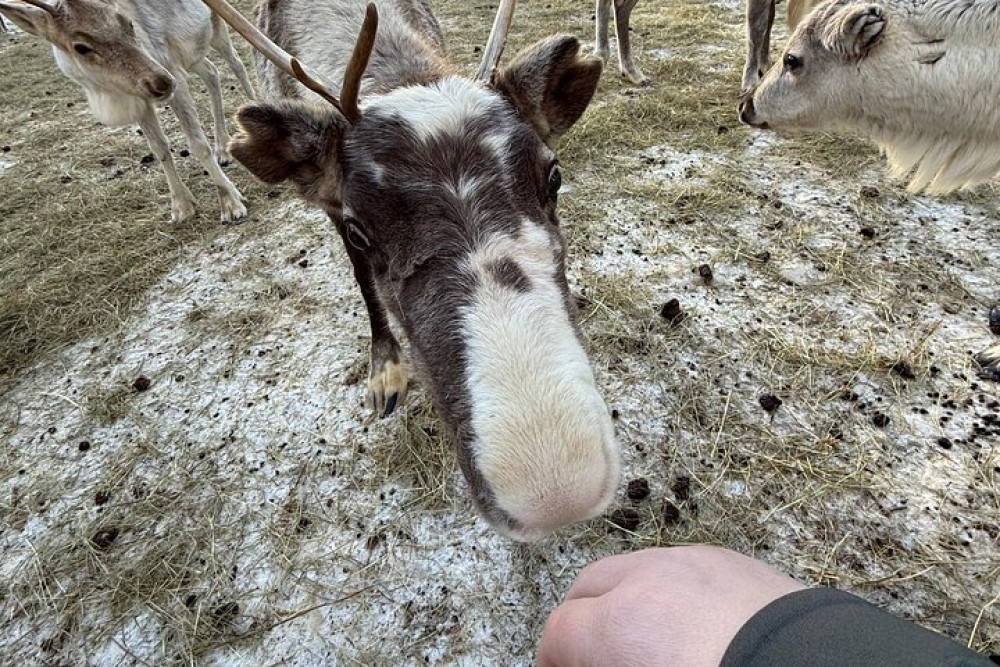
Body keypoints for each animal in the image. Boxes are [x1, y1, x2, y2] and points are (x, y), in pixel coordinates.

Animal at [0, 0, 256, 223]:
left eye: (128, 23)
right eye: (81, 47)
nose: (162, 82)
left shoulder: (173, 72)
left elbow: (197, 144)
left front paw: (231, 203)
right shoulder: (139, 96)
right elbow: (159, 149)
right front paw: (182, 207)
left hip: (216, 28)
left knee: (237, 63)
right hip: (192, 54)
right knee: (212, 73)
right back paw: (222, 148)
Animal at [205, 0, 621, 541]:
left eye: (554, 176)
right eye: (360, 230)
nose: (555, 494)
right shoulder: (332, 211)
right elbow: (364, 284)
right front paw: (385, 367)